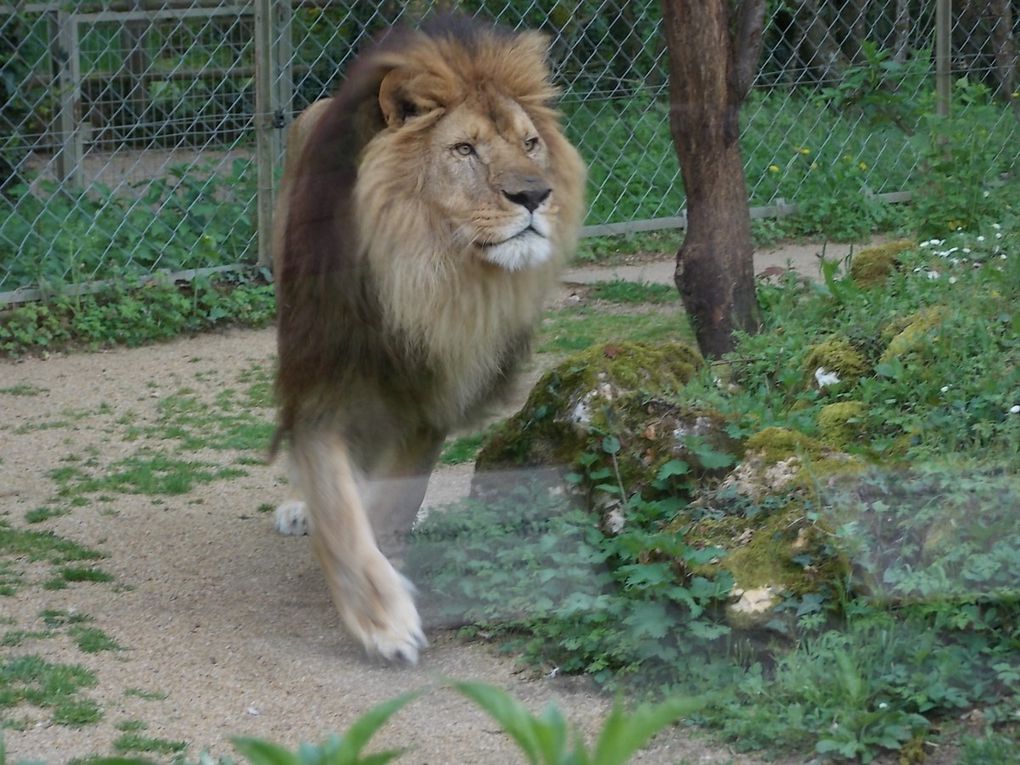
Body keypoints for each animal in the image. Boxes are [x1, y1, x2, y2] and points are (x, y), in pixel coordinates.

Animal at [271, 16, 587, 665]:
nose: (534, 195)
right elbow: (338, 508)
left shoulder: (435, 394)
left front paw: (388, 567)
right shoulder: (320, 380)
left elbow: (389, 501)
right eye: (464, 149)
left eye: (530, 144)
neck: (425, 278)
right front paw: (383, 620)